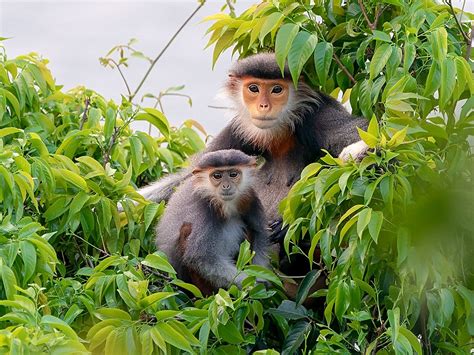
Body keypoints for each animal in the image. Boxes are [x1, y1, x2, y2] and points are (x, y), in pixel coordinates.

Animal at [156, 149, 270, 294]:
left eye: (233, 174)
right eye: (217, 176)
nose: (226, 186)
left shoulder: (251, 199)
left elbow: (259, 235)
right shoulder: (204, 209)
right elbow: (201, 258)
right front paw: (253, 284)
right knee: (186, 230)